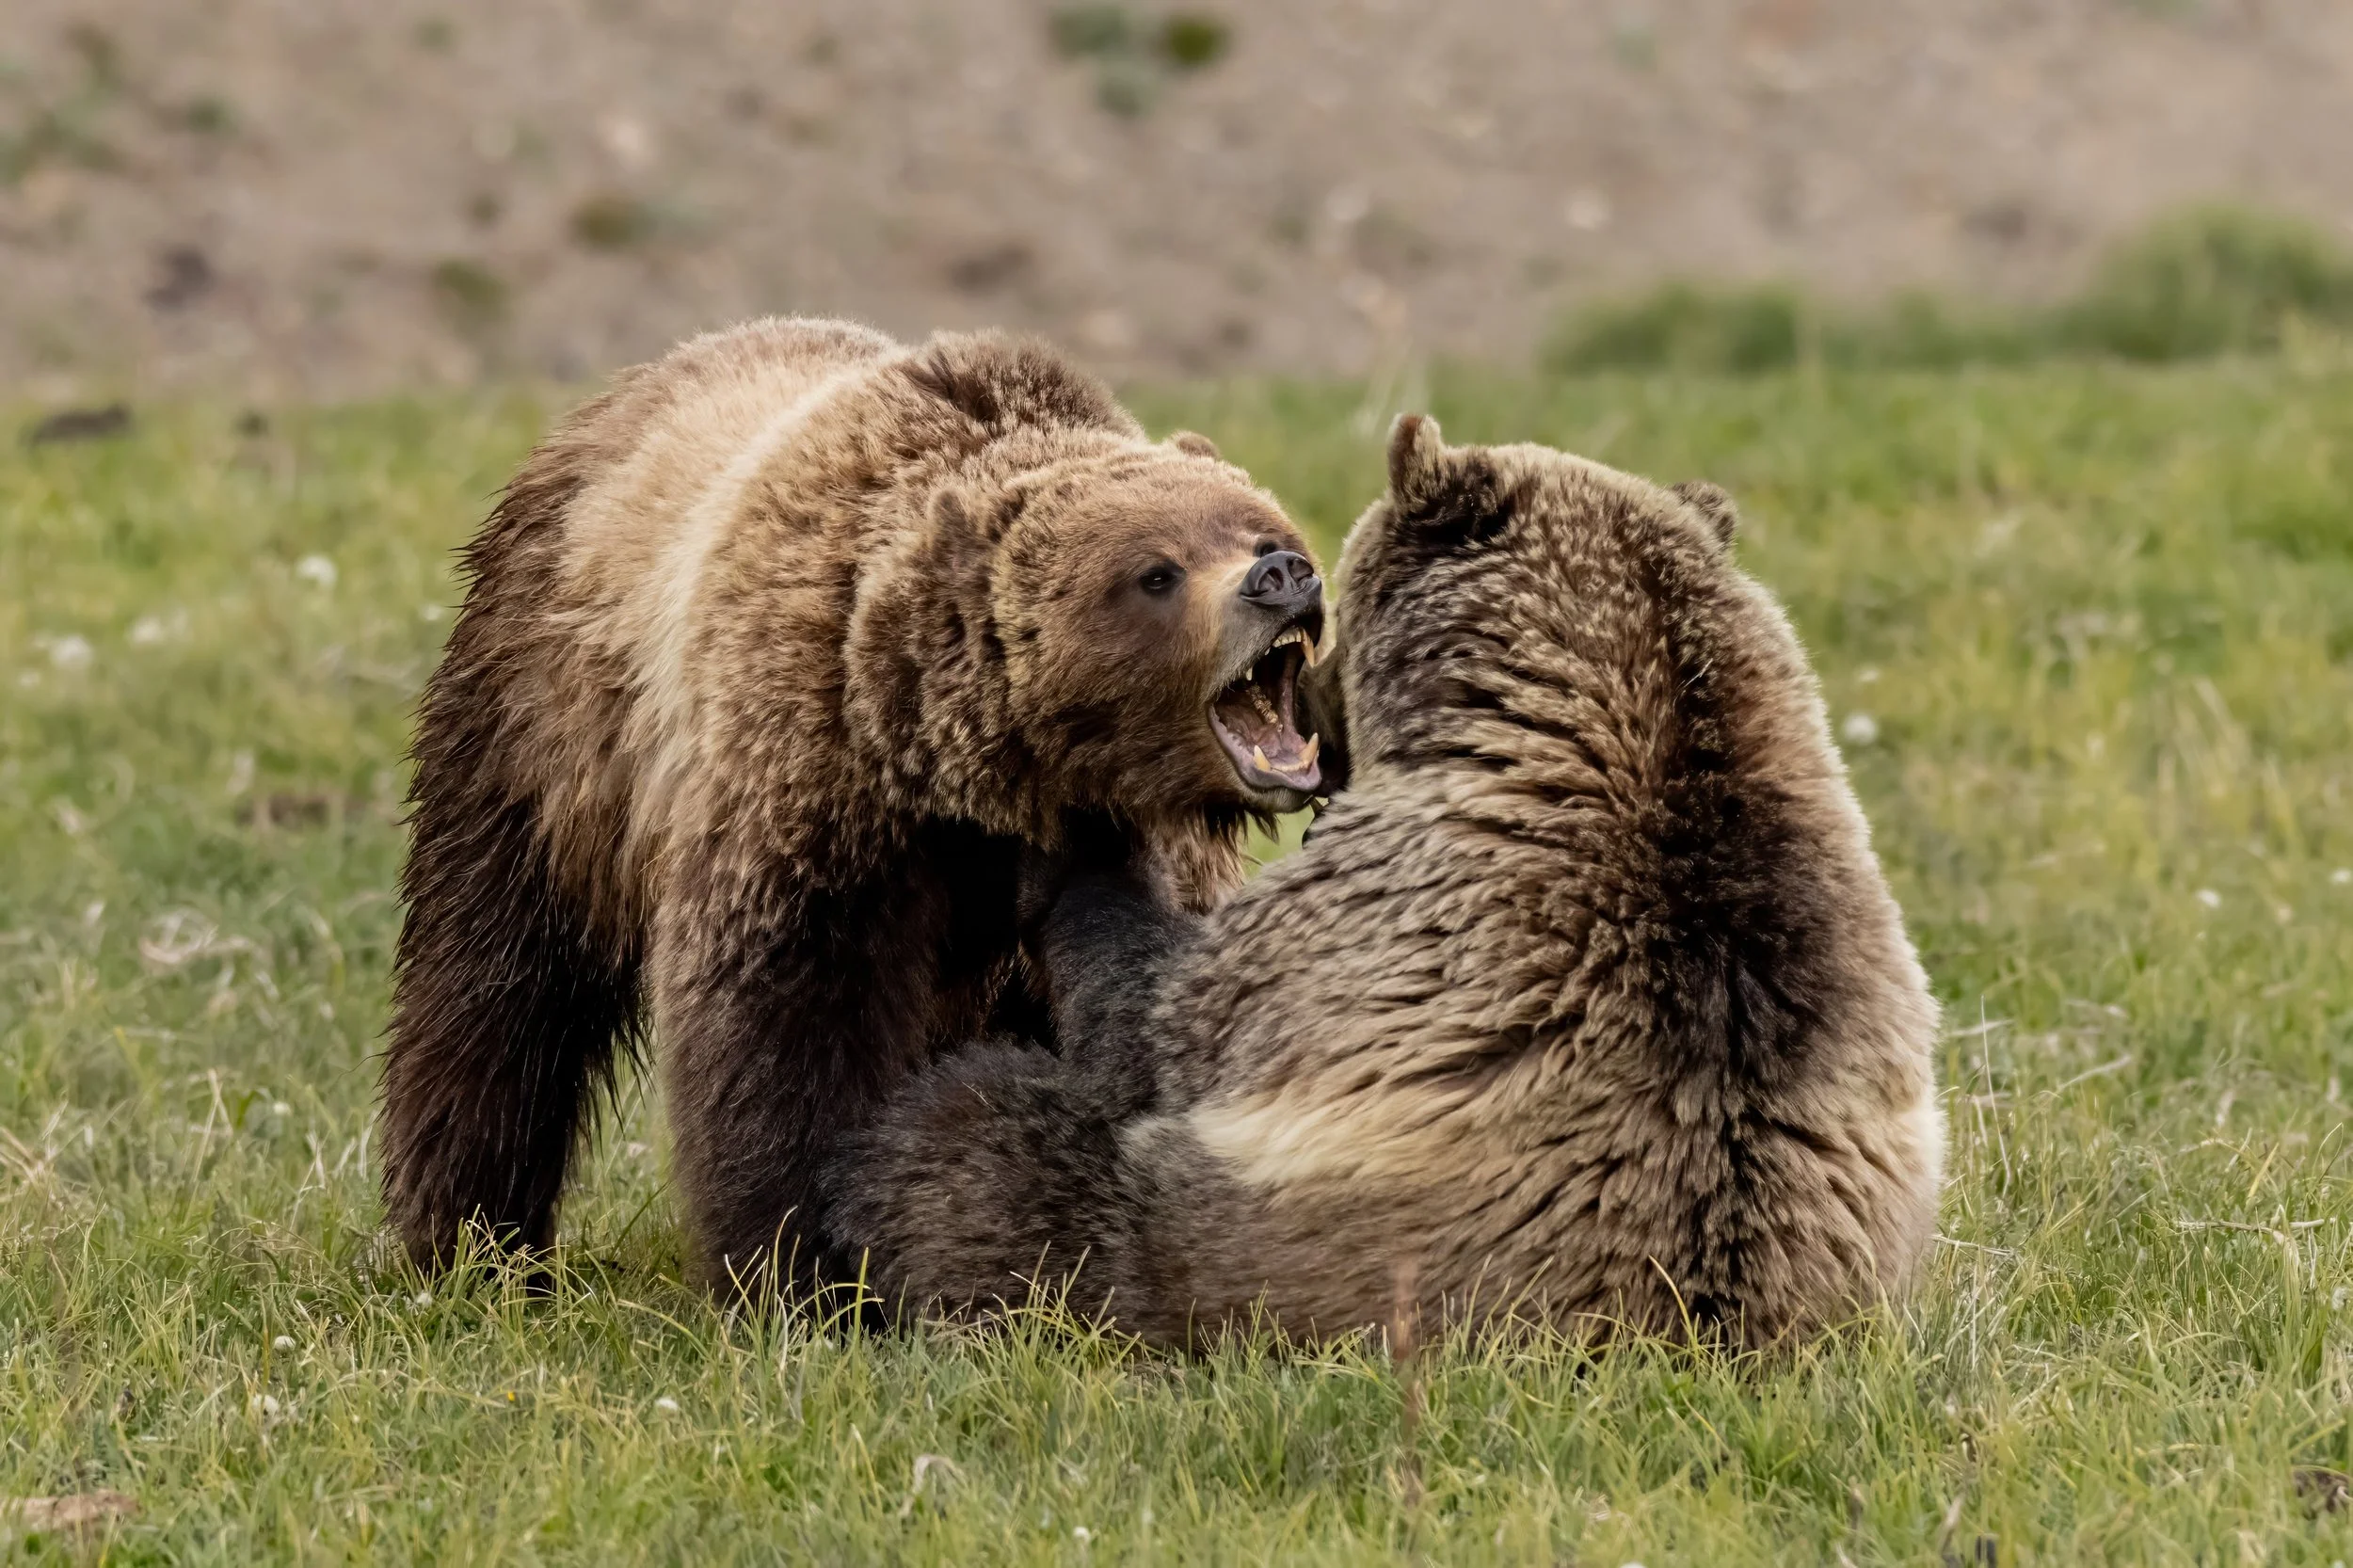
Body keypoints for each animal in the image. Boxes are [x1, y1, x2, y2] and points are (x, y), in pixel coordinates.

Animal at [378, 316, 1333, 1291]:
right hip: (543, 732)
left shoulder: (1143, 847)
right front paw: (804, 1273)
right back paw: (471, 1244)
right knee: (497, 985)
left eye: (1257, 524)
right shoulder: (814, 787)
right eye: (1156, 572)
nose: (1282, 574)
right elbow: (784, 1030)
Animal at [824, 413, 1946, 1350]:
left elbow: (1151, 1021)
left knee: (975, 1149)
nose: (1320, 724)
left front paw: (1087, 840)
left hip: (1196, 1261)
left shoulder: (1358, 931)